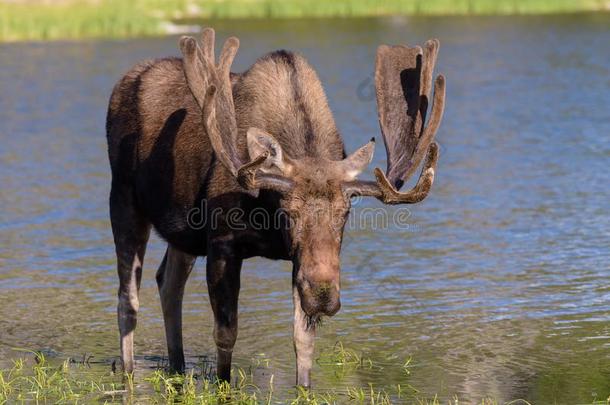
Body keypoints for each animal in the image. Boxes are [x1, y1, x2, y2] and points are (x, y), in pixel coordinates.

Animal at [105, 26, 442, 386]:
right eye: (288, 211)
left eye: (346, 212)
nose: (323, 296)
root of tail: (122, 81)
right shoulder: (222, 242)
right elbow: (226, 334)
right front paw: (224, 385)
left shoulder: (299, 260)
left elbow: (303, 341)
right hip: (123, 199)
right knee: (128, 299)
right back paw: (129, 371)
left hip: (183, 236)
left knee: (168, 283)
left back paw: (178, 366)